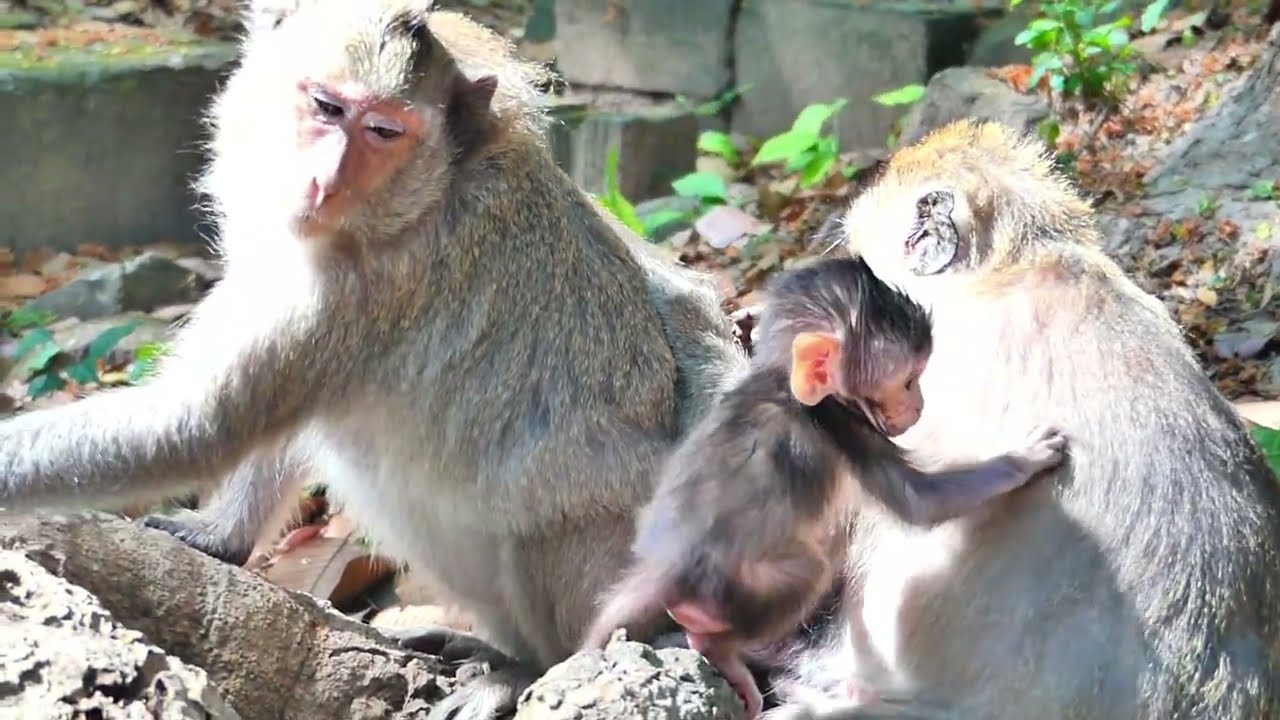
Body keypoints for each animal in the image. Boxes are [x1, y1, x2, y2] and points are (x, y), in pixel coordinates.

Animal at [0, 3, 752, 719]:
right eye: (327, 107)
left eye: (384, 131)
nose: (325, 182)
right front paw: (219, 535)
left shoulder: (363, 287)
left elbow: (195, 426)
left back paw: (536, 666)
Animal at [580, 255, 1068, 718]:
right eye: (908, 380)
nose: (919, 404)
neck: (786, 384)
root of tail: (666, 565)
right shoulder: (847, 430)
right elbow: (920, 502)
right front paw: (1025, 457)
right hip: (736, 587)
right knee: (808, 571)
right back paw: (718, 647)